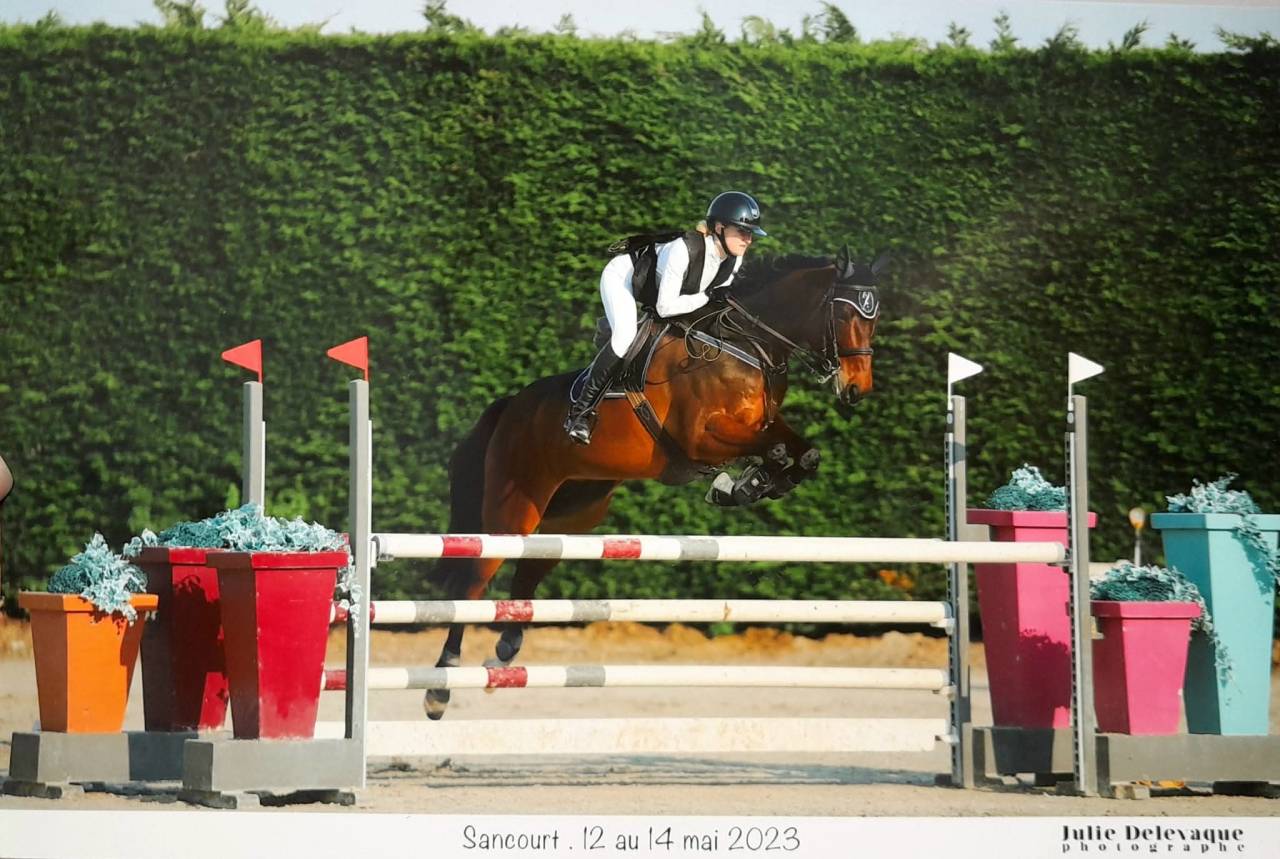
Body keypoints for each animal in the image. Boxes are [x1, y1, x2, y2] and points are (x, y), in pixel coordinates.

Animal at [423, 246, 883, 718]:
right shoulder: (701, 436)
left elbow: (802, 452)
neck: (747, 345)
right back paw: (440, 687)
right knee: (474, 582)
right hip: (514, 502)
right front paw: (744, 484)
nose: (856, 389)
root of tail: (511, 406)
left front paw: (748, 486)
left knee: (533, 564)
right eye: (845, 314)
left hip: (574, 509)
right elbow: (771, 449)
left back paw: (505, 650)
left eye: (875, 317)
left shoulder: (763, 425)